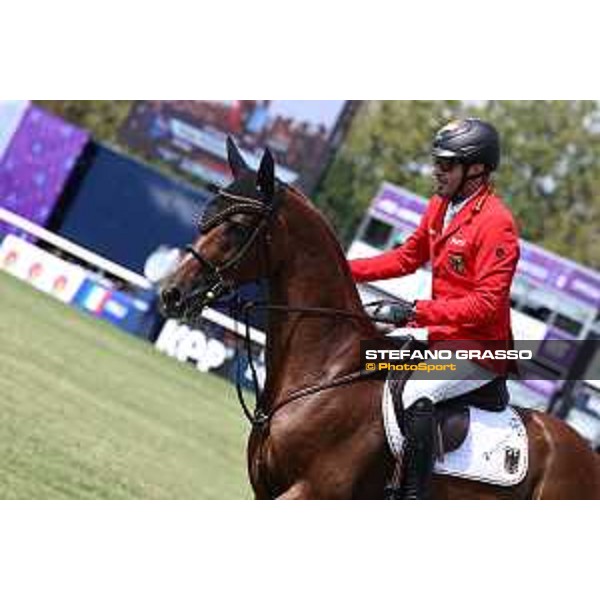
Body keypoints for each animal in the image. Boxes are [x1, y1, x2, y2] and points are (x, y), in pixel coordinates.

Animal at [159, 138, 600, 500]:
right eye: (208, 216)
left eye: (236, 226)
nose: (171, 293)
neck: (328, 370)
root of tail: (586, 453)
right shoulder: (265, 491)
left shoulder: (312, 492)